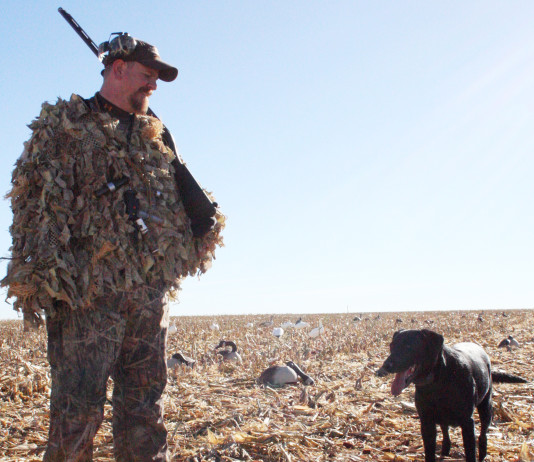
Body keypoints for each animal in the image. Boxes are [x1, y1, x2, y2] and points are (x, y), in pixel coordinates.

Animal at [378, 330, 528, 460]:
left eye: (409, 346)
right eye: (391, 346)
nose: (386, 366)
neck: (437, 382)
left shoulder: (467, 422)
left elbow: (470, 453)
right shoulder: (426, 422)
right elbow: (429, 452)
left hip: (486, 407)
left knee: (483, 434)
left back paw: (483, 454)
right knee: (446, 432)